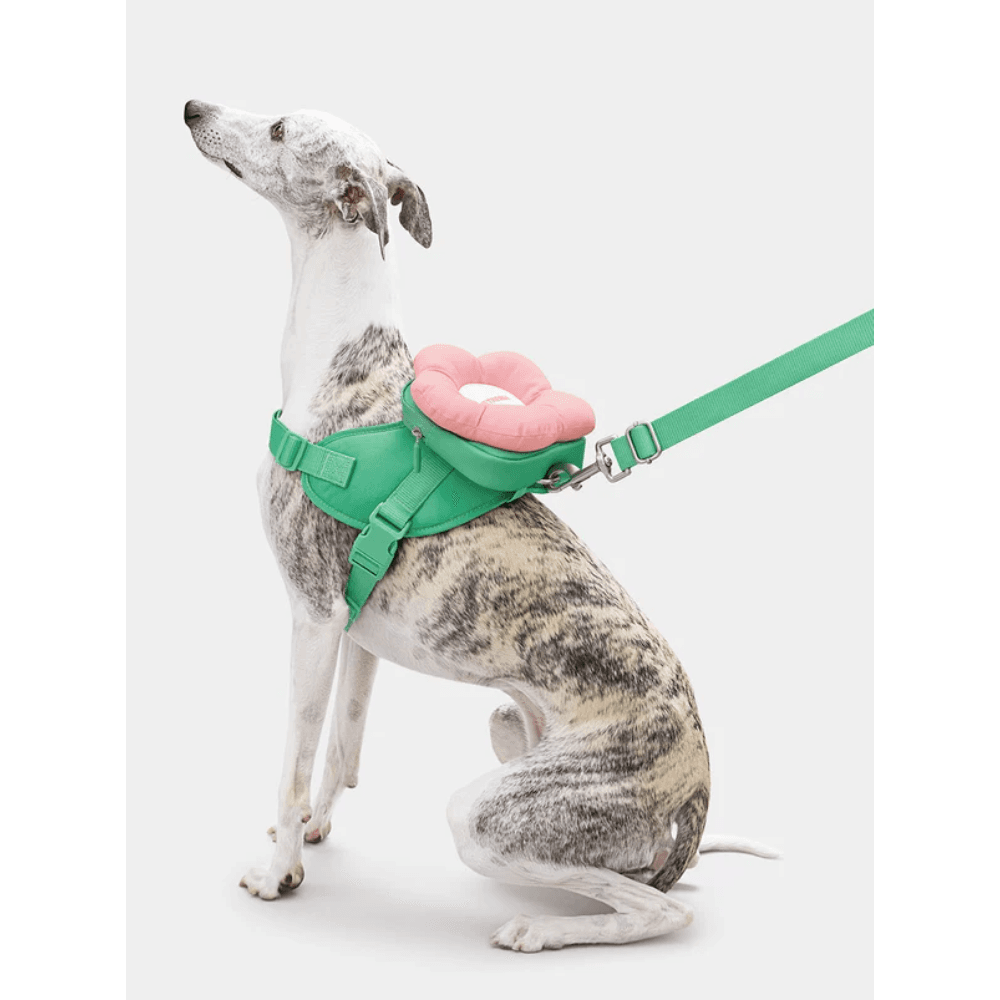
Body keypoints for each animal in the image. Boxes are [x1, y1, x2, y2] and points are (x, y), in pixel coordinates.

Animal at [184, 100, 774, 951]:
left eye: (278, 129)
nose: (191, 107)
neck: (339, 362)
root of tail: (697, 784)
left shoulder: (312, 617)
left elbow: (292, 765)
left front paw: (278, 876)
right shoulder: (357, 635)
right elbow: (342, 750)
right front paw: (315, 836)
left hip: (484, 813)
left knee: (664, 908)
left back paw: (537, 930)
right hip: (509, 731)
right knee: (638, 878)